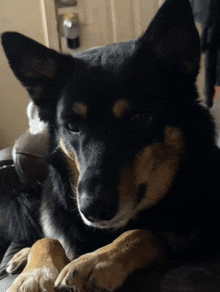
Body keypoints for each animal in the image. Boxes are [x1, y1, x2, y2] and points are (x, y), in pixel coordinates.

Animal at [1, 0, 220, 290]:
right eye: (72, 126)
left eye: (137, 116)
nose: (93, 210)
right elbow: (48, 238)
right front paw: (34, 276)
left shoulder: (200, 236)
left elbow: (144, 233)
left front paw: (97, 260)